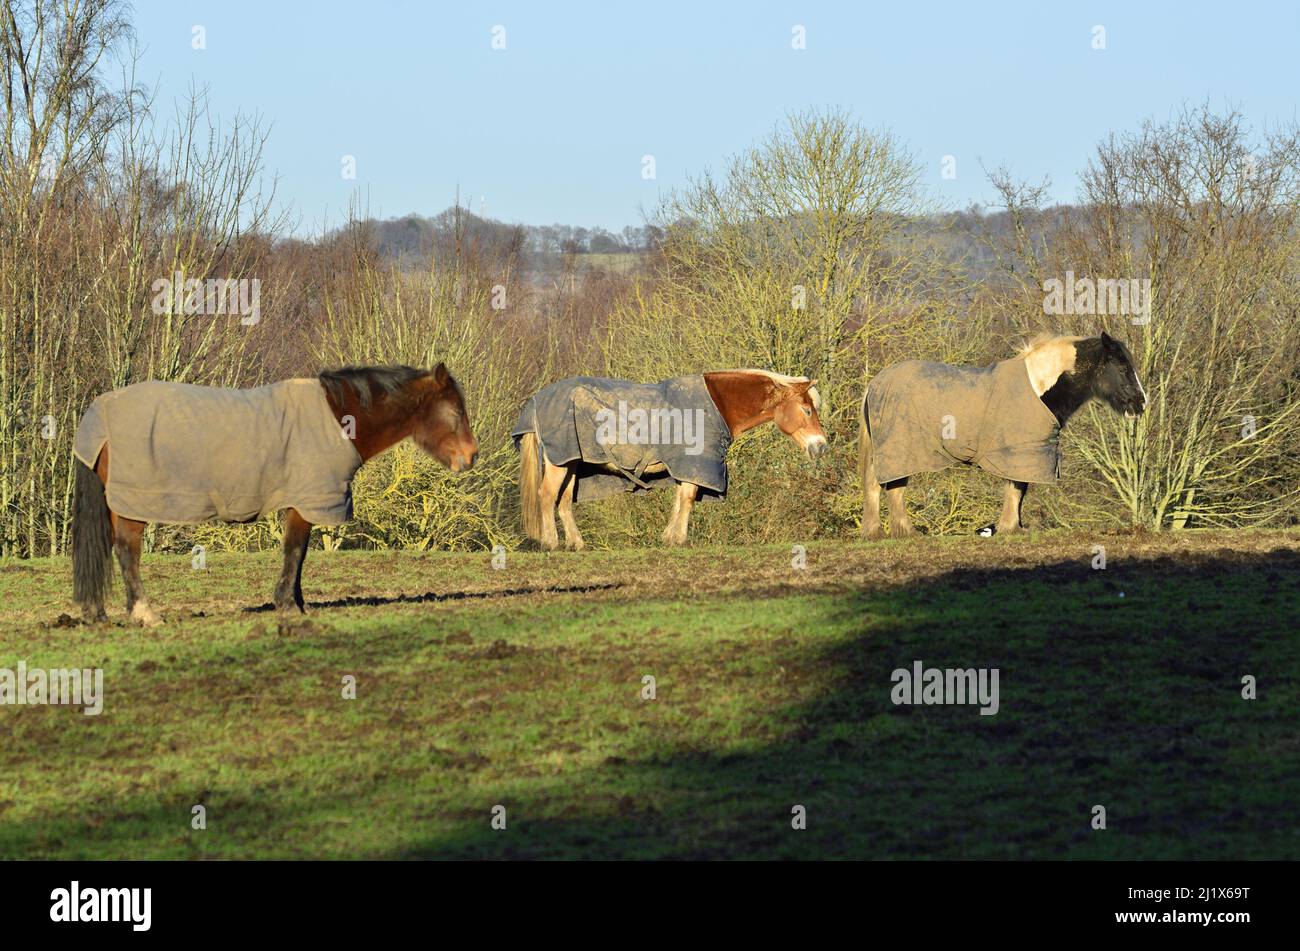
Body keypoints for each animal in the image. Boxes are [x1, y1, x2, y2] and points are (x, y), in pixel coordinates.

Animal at [71, 364, 478, 626]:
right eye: (456, 410)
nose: (471, 455)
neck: (338, 419)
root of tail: (99, 413)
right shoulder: (304, 502)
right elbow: (294, 552)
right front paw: (287, 605)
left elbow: (300, 555)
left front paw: (296, 602)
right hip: (132, 504)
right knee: (127, 551)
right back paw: (144, 612)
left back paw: (98, 613)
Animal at [514, 370, 827, 550]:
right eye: (807, 409)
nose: (821, 446)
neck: (715, 404)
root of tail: (537, 401)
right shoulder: (695, 463)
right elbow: (687, 500)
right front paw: (680, 539)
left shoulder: (686, 466)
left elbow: (679, 499)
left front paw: (669, 538)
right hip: (560, 462)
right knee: (546, 496)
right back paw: (552, 543)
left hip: (572, 463)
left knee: (564, 501)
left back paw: (577, 544)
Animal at [859, 332, 1146, 539]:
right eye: (1123, 368)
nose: (1141, 403)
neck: (1037, 388)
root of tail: (874, 385)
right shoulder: (1021, 451)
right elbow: (1016, 488)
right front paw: (1010, 527)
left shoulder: (1024, 452)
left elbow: (1018, 490)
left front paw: (1012, 526)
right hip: (900, 450)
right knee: (893, 487)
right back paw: (905, 531)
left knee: (877, 486)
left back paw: (876, 532)